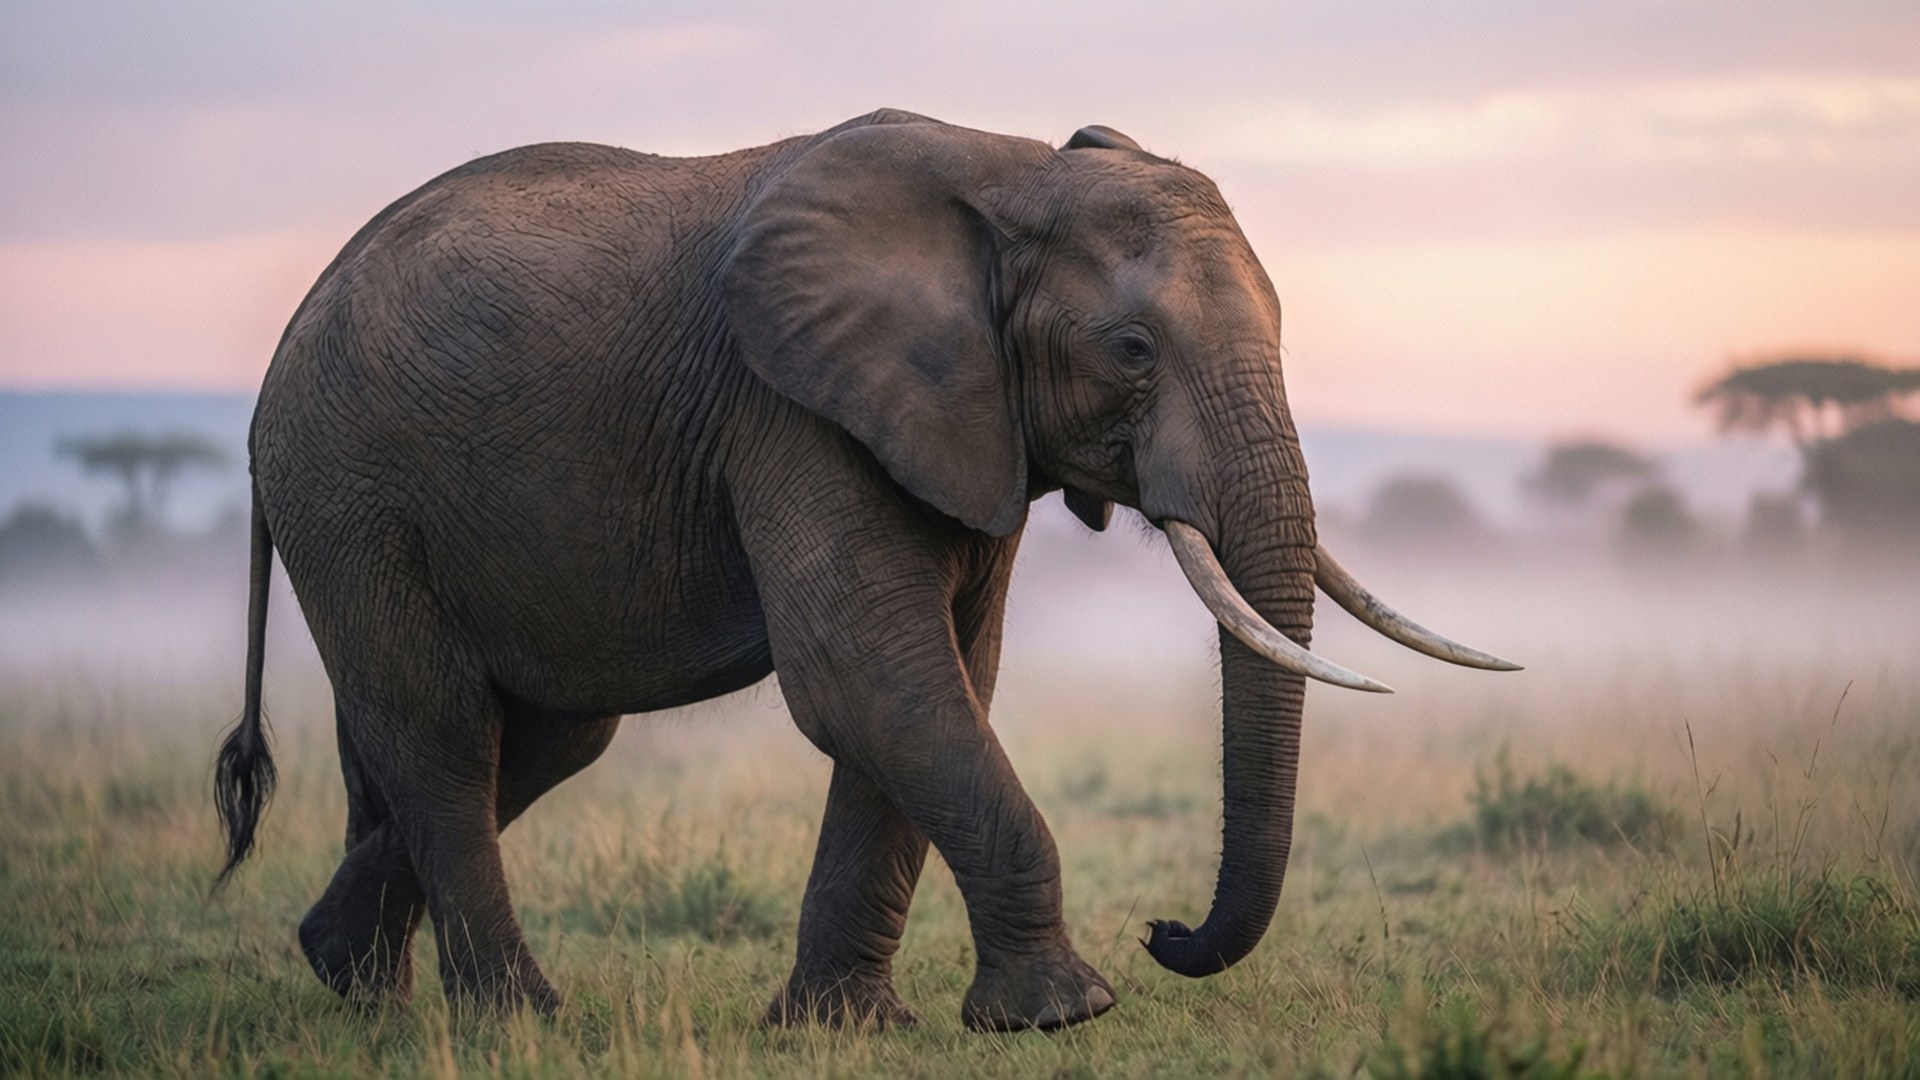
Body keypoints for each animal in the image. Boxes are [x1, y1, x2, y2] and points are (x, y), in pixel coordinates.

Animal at [212, 108, 1517, 1032]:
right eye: (1133, 350)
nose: (1162, 928)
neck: (1010, 172)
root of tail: (279, 356)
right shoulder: (792, 410)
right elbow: (869, 678)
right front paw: (1065, 1016)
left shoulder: (960, 421)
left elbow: (942, 680)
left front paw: (841, 1030)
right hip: (352, 492)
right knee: (444, 735)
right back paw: (517, 1021)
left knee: (530, 741)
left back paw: (351, 983)